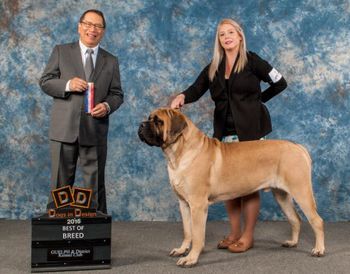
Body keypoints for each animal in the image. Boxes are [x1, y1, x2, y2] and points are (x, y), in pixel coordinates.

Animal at [137, 108, 326, 266]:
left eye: (158, 121)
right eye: (149, 118)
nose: (141, 124)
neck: (178, 152)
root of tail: (298, 147)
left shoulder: (198, 205)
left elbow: (197, 235)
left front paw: (191, 258)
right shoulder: (184, 204)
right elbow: (187, 231)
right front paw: (182, 250)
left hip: (301, 191)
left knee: (316, 220)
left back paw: (319, 249)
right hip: (281, 195)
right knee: (295, 219)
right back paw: (292, 242)